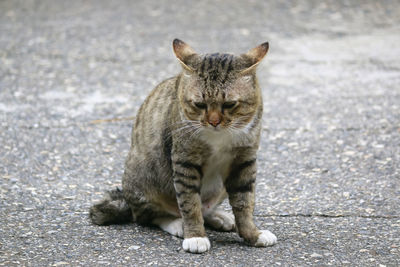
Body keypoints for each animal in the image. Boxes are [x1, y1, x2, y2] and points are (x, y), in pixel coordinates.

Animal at [90, 38, 278, 254]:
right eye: (200, 104)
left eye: (230, 104)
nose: (214, 122)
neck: (219, 136)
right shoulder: (185, 160)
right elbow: (189, 203)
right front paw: (195, 235)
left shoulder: (244, 161)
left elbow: (244, 202)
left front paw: (252, 234)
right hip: (143, 174)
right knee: (149, 216)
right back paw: (177, 223)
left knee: (205, 208)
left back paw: (219, 216)